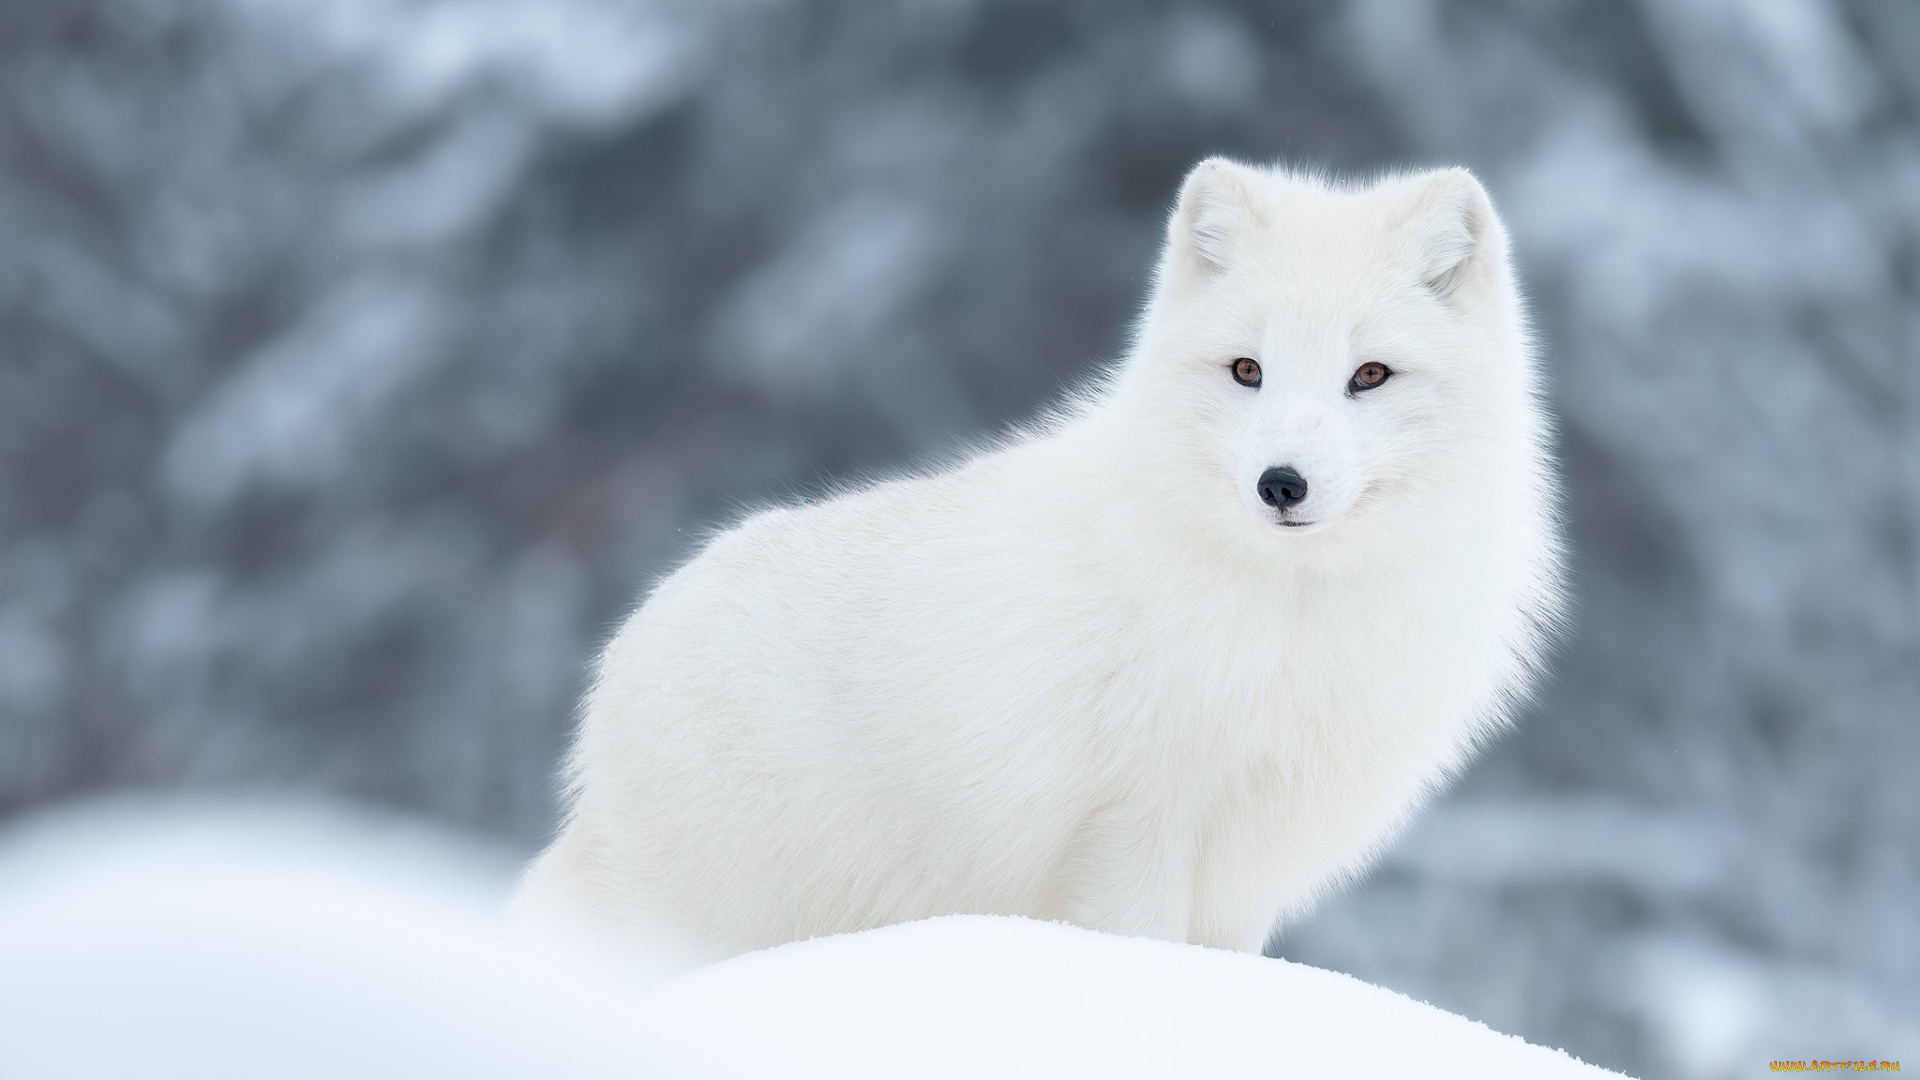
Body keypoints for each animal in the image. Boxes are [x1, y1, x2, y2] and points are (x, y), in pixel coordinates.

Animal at [522, 157, 1559, 957]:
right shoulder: (1132, 827)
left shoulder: (1245, 867)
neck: (1287, 617)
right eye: (1248, 371)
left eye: (1370, 375)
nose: (1281, 484)